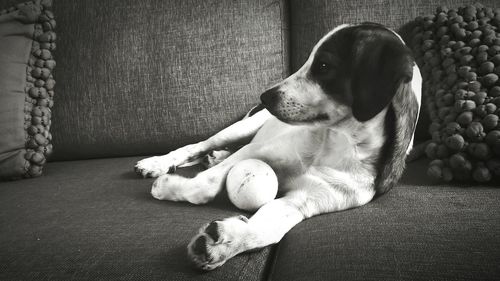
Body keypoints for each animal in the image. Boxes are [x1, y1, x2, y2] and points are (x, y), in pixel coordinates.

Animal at [134, 23, 422, 270]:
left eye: (324, 65)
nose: (264, 97)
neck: (337, 144)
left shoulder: (303, 202)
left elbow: (267, 231)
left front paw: (223, 244)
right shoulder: (257, 151)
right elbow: (204, 185)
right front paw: (168, 186)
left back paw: (214, 158)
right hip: (241, 128)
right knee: (197, 145)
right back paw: (157, 163)